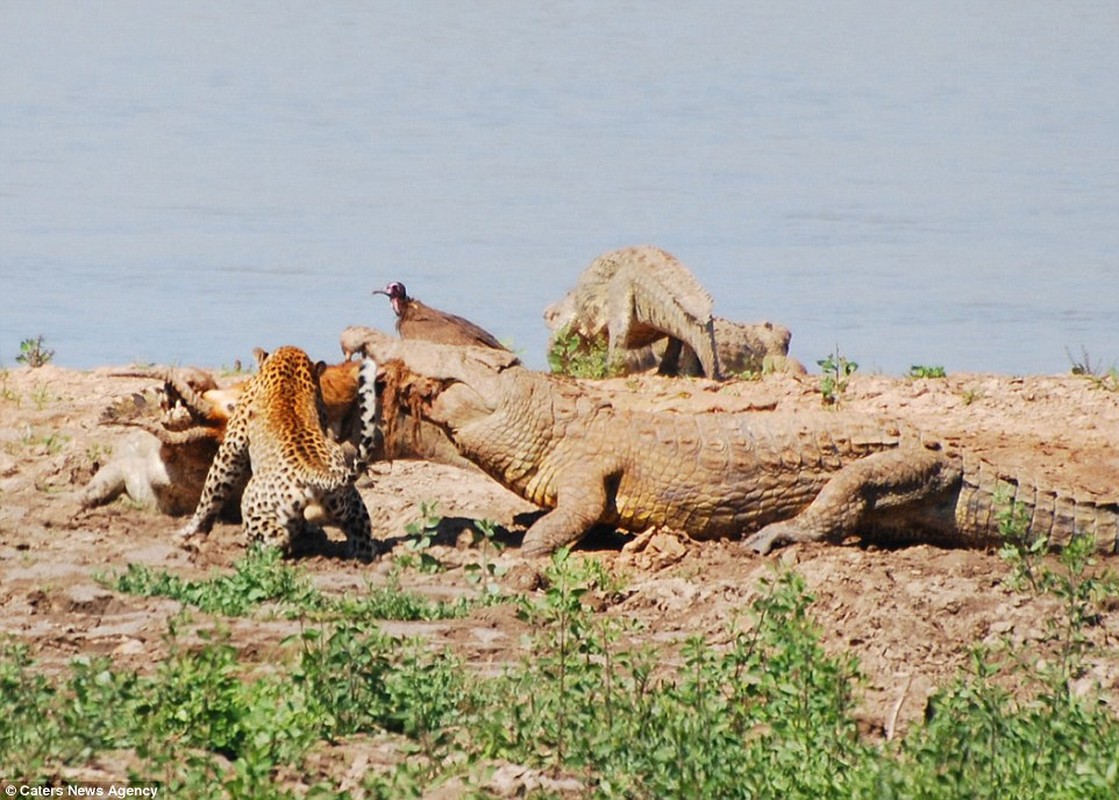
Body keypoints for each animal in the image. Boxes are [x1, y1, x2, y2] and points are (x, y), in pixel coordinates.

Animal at [174, 346, 380, 563]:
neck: (291, 371)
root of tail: (317, 473)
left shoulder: (232, 445)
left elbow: (210, 492)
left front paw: (187, 531)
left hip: (254, 506)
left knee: (278, 539)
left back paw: (253, 553)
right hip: (355, 506)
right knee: (364, 542)